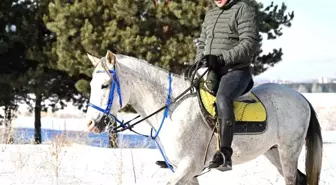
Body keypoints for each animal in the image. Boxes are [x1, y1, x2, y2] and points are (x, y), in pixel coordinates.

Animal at [84, 50, 322, 185]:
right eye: (91, 85)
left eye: (105, 85)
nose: (91, 124)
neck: (172, 110)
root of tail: (301, 97)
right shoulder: (188, 173)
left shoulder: (188, 167)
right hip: (273, 152)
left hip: (288, 151)